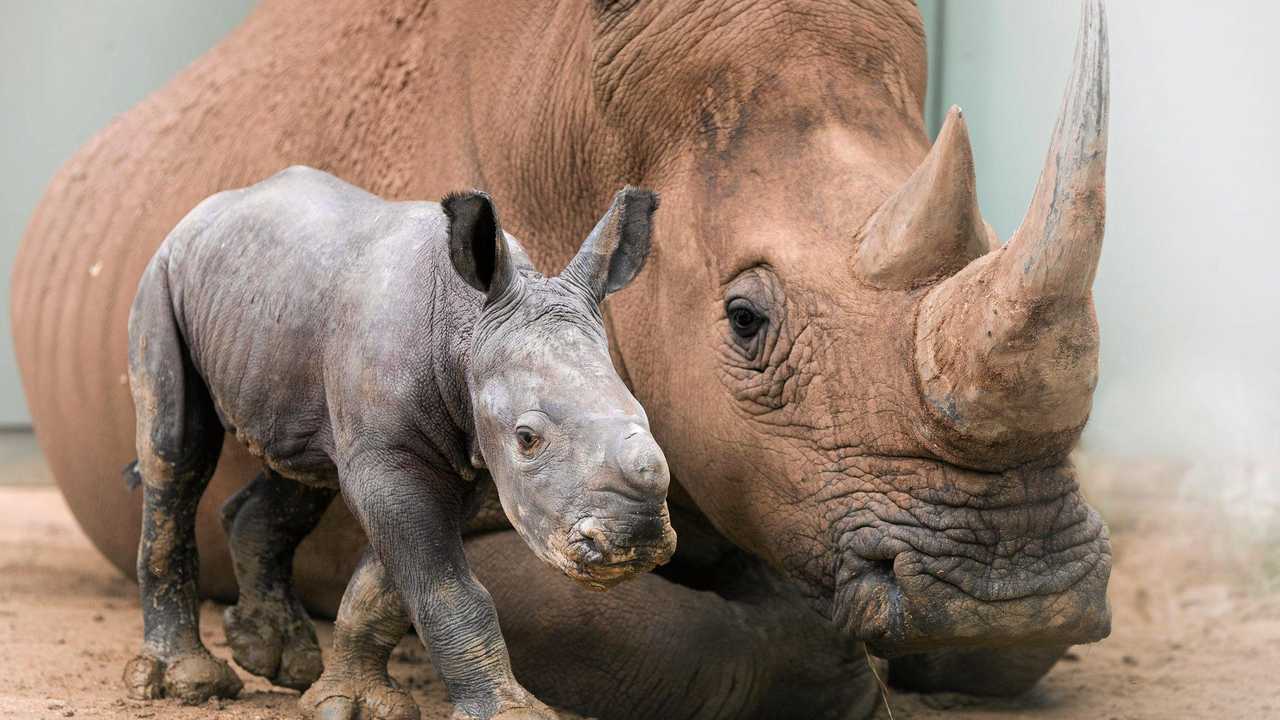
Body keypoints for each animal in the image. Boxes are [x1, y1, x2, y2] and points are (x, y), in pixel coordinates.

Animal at [123, 166, 675, 717]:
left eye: (644, 415)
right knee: (175, 452)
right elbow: (446, 587)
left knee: (302, 471)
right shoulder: (393, 457)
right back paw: (190, 681)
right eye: (527, 438)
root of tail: (206, 210)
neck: (467, 323)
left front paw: (350, 701)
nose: (635, 539)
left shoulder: (465, 454)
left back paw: (276, 660)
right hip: (161, 275)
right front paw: (508, 712)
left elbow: (388, 583)